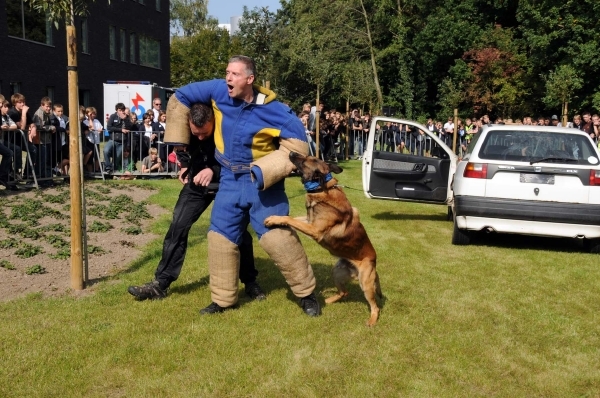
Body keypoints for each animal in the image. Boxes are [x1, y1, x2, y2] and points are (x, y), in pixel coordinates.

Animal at [264, 151, 382, 324]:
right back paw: (329, 300)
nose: (291, 152)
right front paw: (276, 219)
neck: (321, 188)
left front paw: (273, 219)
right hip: (337, 272)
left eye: (306, 160)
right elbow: (293, 218)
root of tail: (374, 262)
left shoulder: (314, 230)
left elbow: (290, 219)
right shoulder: (309, 221)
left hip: (365, 283)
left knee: (375, 306)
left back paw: (372, 320)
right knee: (344, 292)